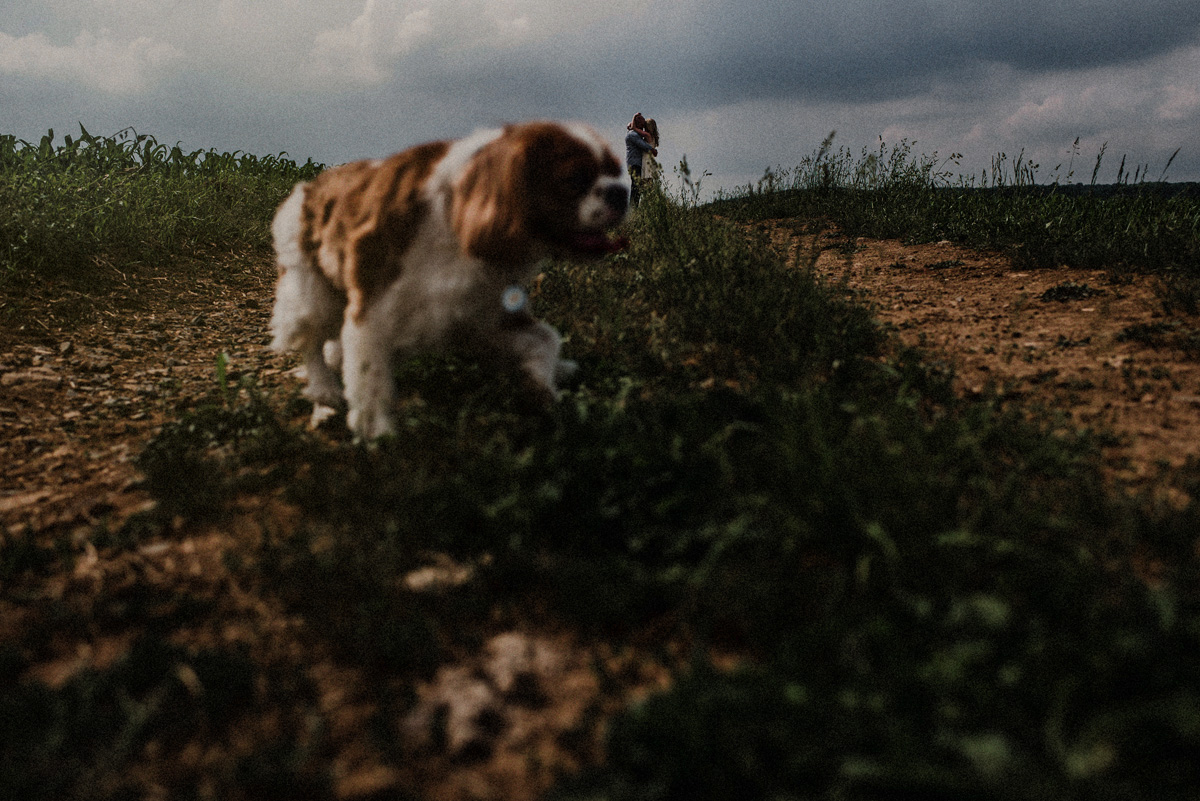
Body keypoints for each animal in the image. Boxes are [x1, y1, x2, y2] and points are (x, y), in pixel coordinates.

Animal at [270, 122, 628, 441]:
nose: (621, 192)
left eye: (615, 170)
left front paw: (543, 388)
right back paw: (324, 393)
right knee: (312, 342)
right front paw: (378, 435)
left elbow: (545, 340)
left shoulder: (483, 316)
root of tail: (309, 187)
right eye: (574, 179)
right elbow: (370, 380)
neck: (457, 216)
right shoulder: (372, 312)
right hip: (313, 296)